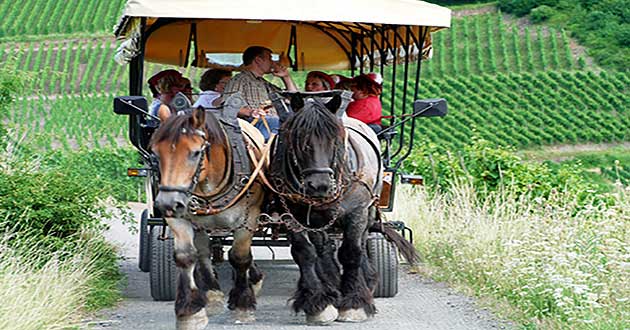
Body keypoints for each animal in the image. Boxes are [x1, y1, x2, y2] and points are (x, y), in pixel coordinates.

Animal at [152, 107, 266, 328]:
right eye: (156, 153)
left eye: (195, 153)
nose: (166, 204)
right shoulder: (179, 217)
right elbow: (186, 256)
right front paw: (189, 310)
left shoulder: (248, 219)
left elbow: (239, 256)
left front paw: (243, 304)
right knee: (204, 252)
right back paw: (213, 295)